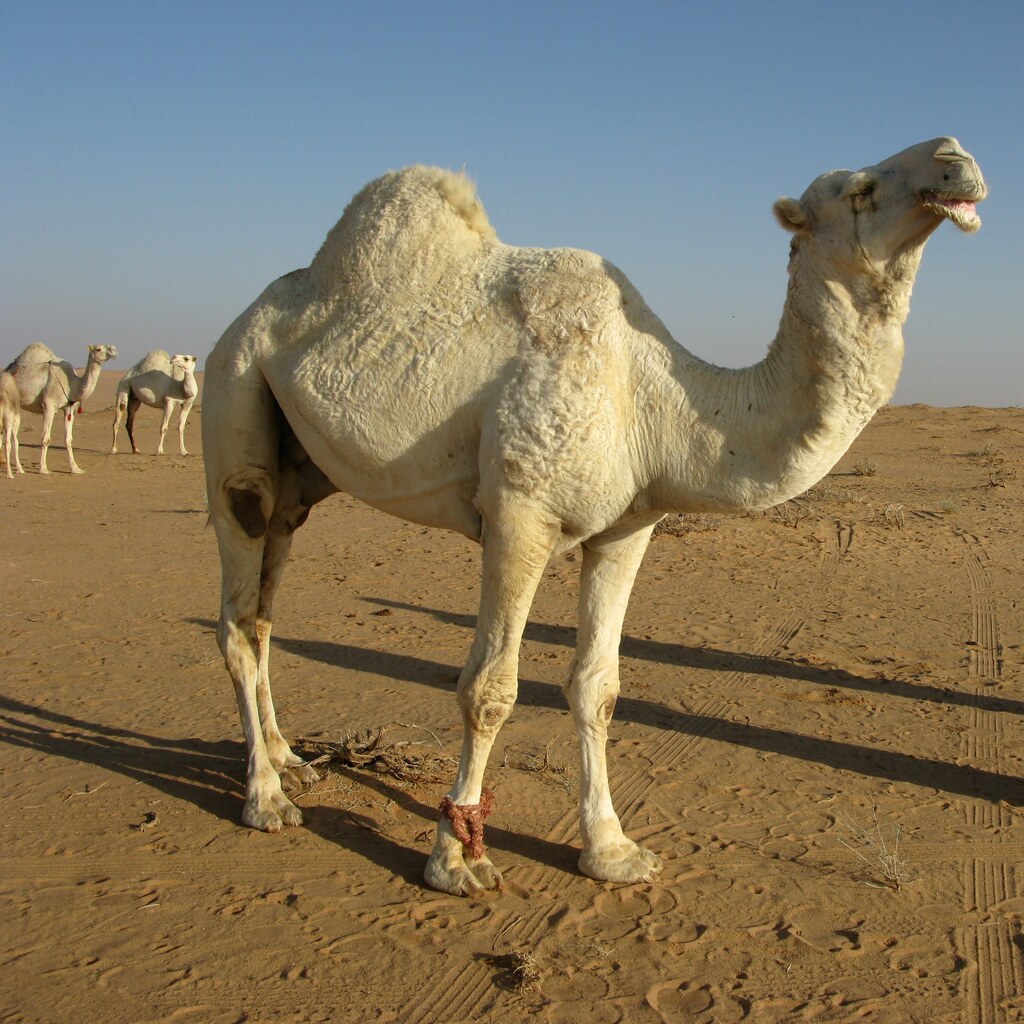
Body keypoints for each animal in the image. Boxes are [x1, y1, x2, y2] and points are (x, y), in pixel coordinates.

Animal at [6, 343, 119, 474]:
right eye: (98, 349)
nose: (115, 351)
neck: (72, 384)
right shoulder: (48, 406)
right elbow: (45, 439)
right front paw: (43, 468)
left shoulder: (69, 409)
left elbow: (68, 439)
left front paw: (75, 468)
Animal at [202, 138, 985, 896]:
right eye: (860, 190)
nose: (955, 158)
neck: (657, 401)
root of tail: (242, 319)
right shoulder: (519, 515)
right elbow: (489, 690)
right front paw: (456, 860)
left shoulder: (628, 528)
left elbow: (597, 688)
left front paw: (611, 850)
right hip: (234, 394)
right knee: (238, 610)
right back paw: (267, 799)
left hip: (298, 474)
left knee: (266, 607)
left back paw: (289, 758)